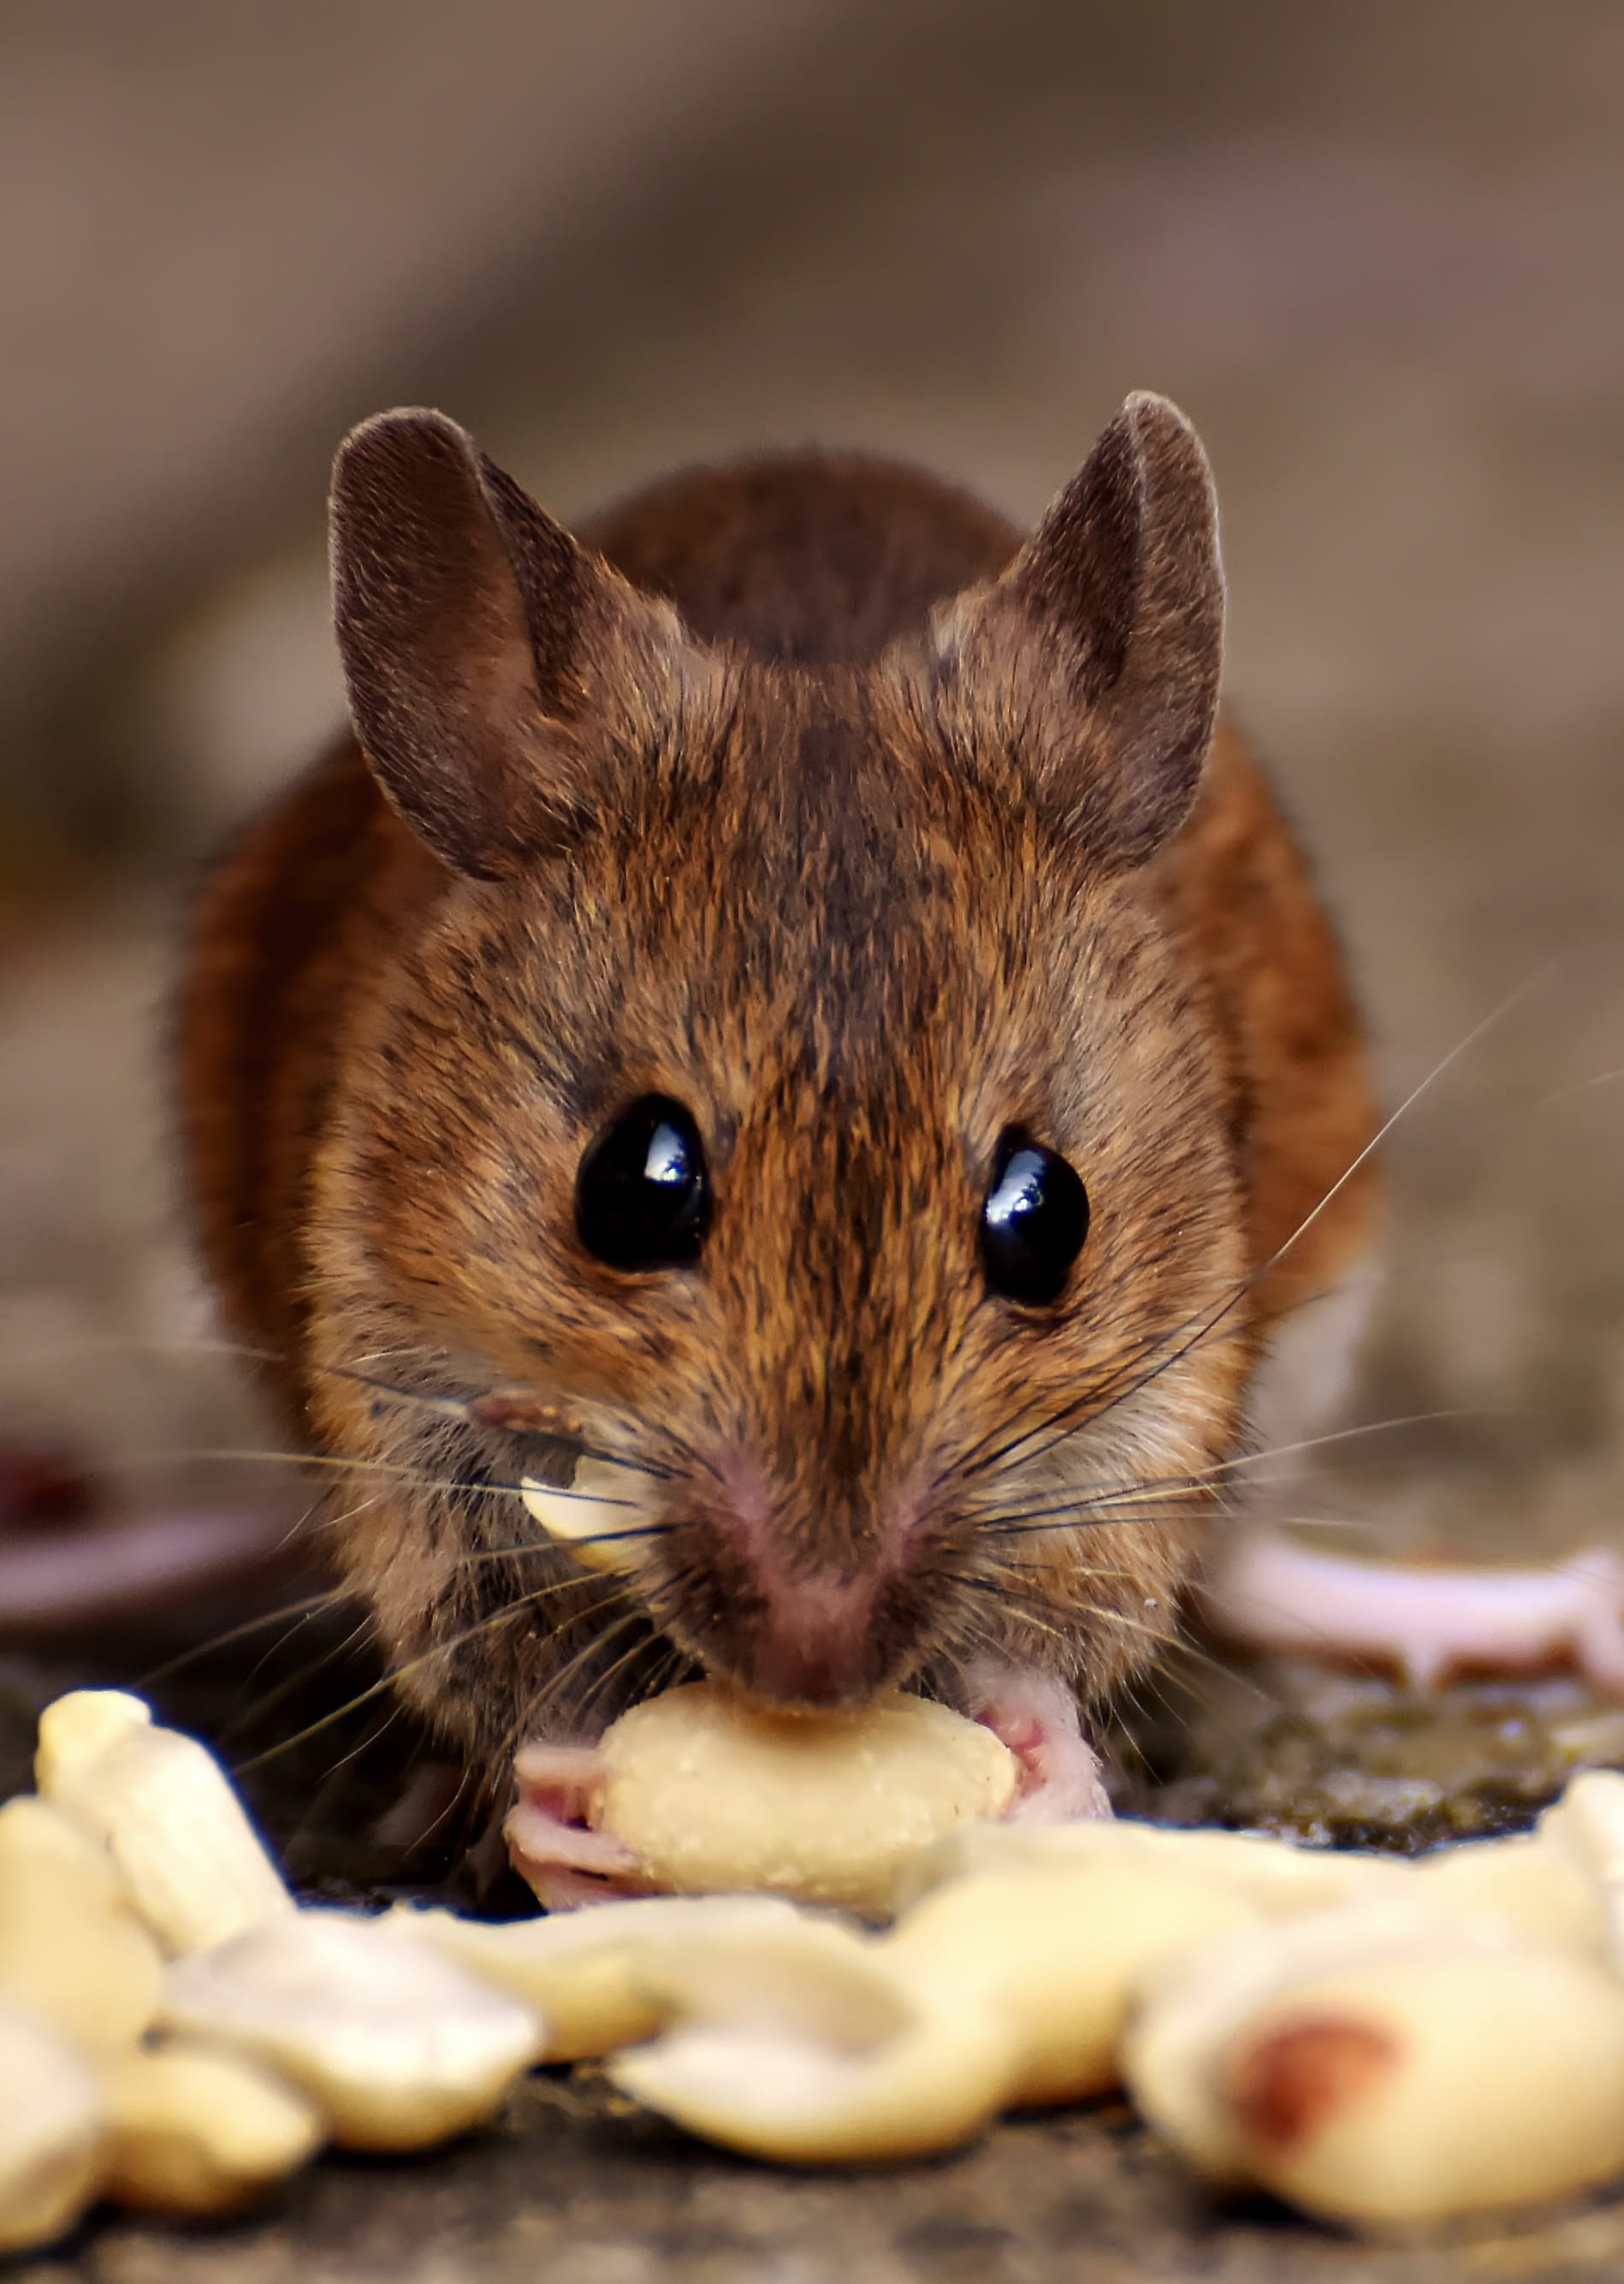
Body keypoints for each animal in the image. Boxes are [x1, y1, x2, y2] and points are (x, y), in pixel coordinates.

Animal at [174, 393, 1381, 1871]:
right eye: (633, 1186)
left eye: (1048, 1216)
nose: (816, 1665)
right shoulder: (406, 1420)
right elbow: (514, 1675)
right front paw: (556, 1819)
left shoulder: (1147, 1424)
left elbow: (1058, 1640)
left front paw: (1046, 1773)